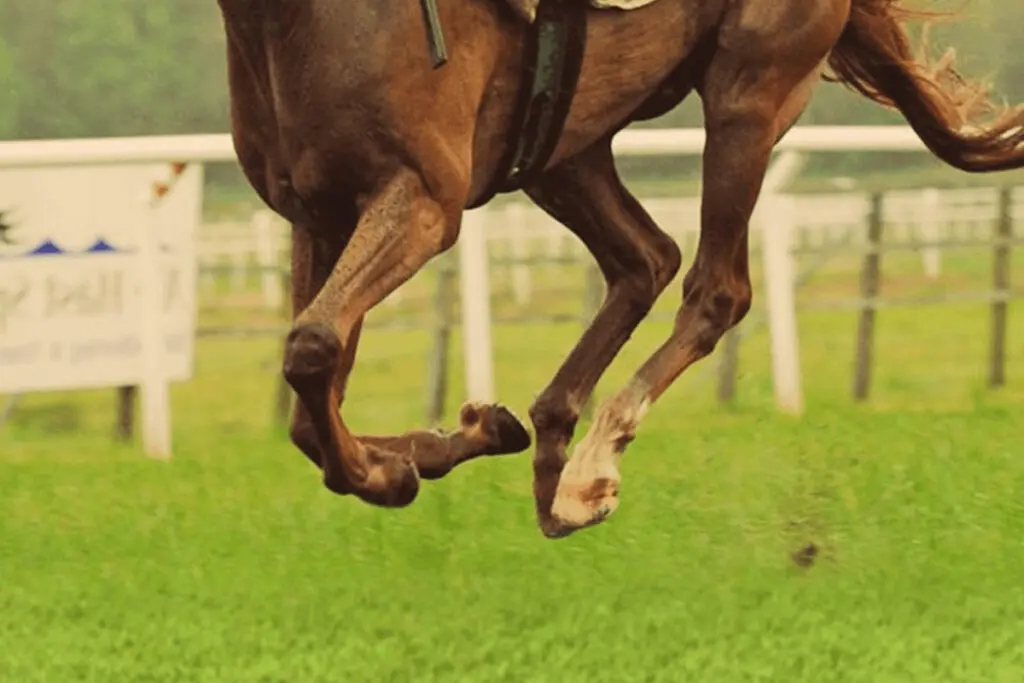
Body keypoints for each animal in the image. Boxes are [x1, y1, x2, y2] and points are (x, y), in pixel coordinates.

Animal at [215, 0, 1024, 539]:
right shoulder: (318, 213)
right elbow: (309, 407)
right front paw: (454, 439)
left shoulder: (420, 197)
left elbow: (312, 349)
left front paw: (394, 468)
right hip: (564, 141)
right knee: (644, 258)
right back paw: (550, 442)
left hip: (749, 87)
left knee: (714, 291)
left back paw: (588, 469)